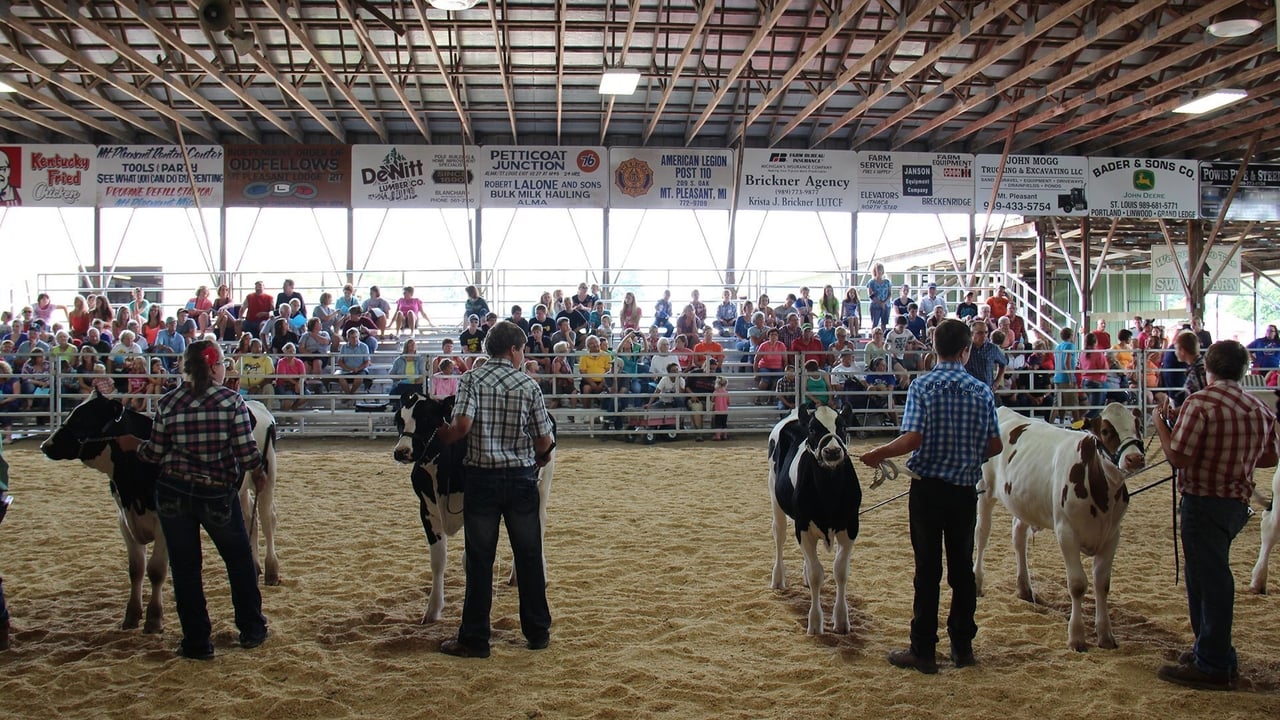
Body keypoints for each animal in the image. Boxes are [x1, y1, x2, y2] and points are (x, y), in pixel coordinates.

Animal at [40, 389, 280, 630]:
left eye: (84, 418)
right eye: (73, 411)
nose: (45, 445)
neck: (132, 487)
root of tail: (257, 406)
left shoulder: (164, 524)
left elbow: (156, 570)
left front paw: (154, 619)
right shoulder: (124, 519)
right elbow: (135, 570)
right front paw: (131, 615)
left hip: (267, 478)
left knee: (268, 520)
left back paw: (271, 570)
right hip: (240, 490)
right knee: (250, 519)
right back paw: (255, 566)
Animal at [386, 389, 552, 620]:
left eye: (427, 418)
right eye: (399, 420)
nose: (401, 451)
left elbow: (470, 559)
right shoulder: (427, 512)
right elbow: (438, 561)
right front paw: (433, 610)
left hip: (542, 487)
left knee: (539, 527)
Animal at [762, 404, 865, 632]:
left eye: (843, 426)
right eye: (812, 429)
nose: (832, 451)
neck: (829, 493)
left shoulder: (851, 526)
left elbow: (840, 571)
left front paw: (842, 620)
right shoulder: (803, 527)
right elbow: (817, 574)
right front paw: (816, 623)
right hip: (775, 496)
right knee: (779, 536)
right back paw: (778, 579)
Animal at [972, 404, 1146, 650]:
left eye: (1137, 425)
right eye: (1105, 430)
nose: (1134, 458)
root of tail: (1004, 409)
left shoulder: (1112, 535)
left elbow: (1102, 583)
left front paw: (1105, 635)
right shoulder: (1066, 532)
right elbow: (1077, 584)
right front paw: (1077, 637)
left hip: (1023, 500)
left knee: (1018, 536)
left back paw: (1024, 588)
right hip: (984, 491)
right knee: (982, 534)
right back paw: (978, 582)